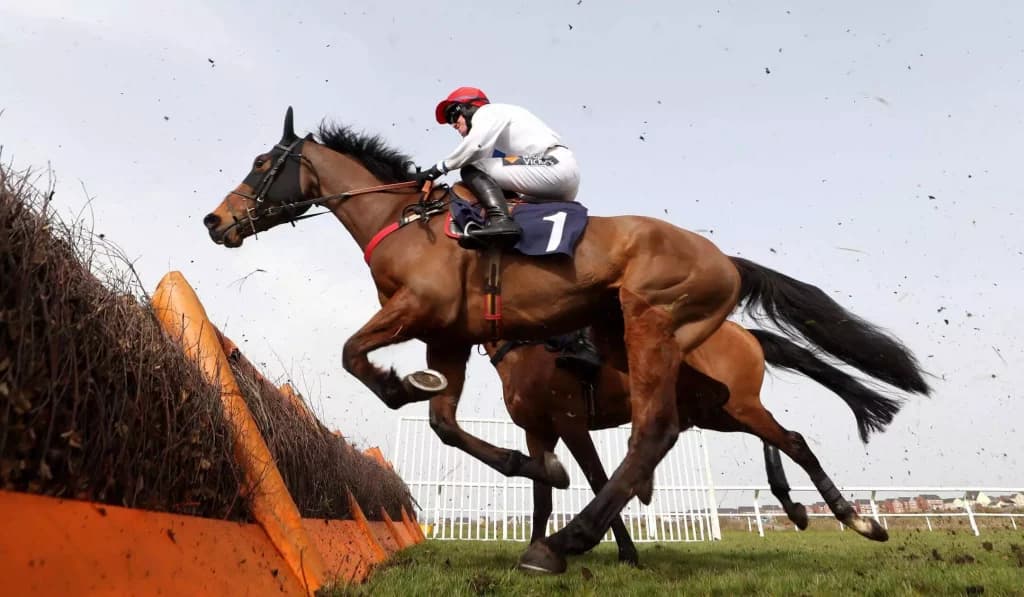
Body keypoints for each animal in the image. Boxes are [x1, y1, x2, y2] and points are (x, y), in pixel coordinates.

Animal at [476, 320, 902, 567]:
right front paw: (536, 547)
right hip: (721, 411)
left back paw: (860, 521)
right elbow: (542, 498)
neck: (525, 347)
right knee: (782, 436)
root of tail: (744, 333)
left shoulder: (571, 422)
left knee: (794, 441)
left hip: (734, 404)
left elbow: (599, 481)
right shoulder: (538, 431)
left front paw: (625, 553)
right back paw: (795, 506)